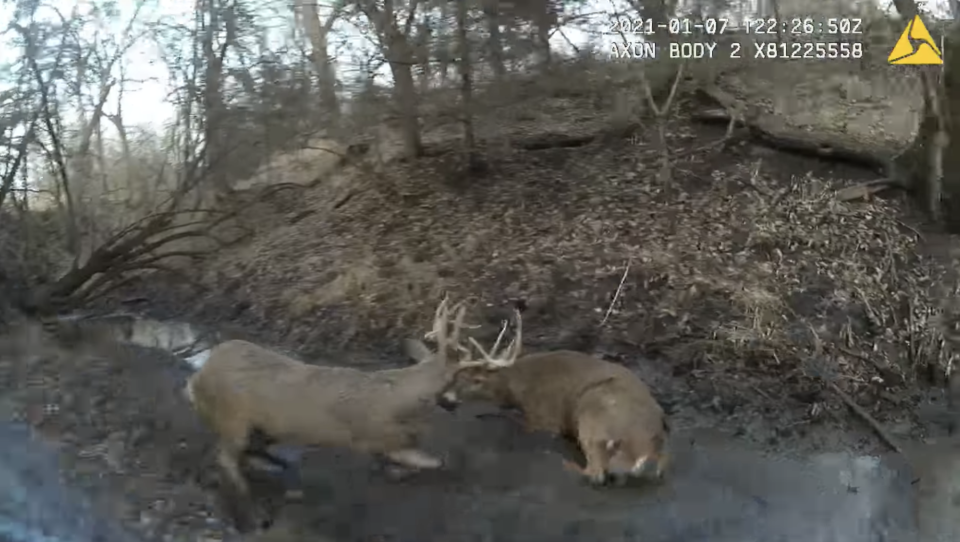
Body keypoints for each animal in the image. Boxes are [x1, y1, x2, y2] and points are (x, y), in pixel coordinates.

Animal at [184, 298, 506, 528]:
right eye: (465, 379)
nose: (455, 404)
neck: (402, 401)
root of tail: (197, 377)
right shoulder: (381, 438)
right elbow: (437, 462)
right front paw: (401, 472)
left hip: (261, 428)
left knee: (235, 454)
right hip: (234, 418)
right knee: (226, 458)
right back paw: (254, 515)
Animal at [424, 310, 672, 488]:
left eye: (477, 380)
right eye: (455, 375)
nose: (444, 400)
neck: (520, 388)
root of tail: (645, 453)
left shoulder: (544, 418)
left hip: (592, 411)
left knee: (595, 474)